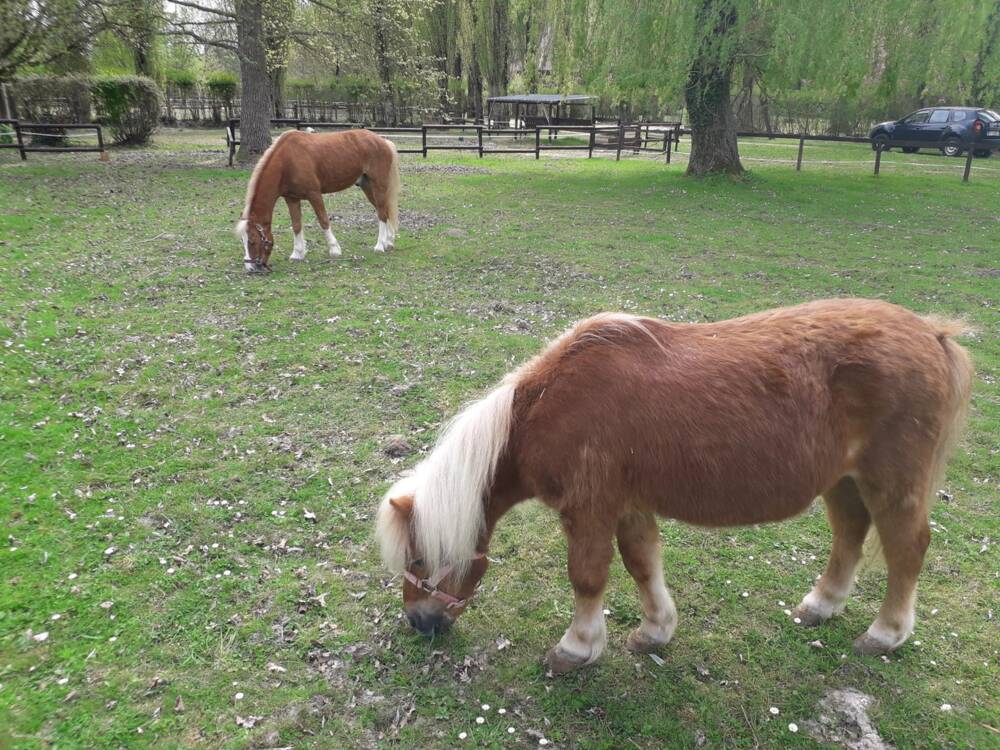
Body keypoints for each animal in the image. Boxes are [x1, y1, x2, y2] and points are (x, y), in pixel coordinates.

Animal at [236, 129, 400, 274]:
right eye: (242, 241)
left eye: (252, 241)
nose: (250, 268)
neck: (287, 160)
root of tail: (382, 141)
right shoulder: (292, 199)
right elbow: (296, 225)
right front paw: (297, 253)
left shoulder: (314, 194)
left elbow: (323, 221)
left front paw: (334, 249)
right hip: (367, 186)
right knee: (384, 211)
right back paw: (389, 241)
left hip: (378, 185)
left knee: (381, 214)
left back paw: (380, 246)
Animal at [376, 298, 968, 676]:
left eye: (421, 561)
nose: (418, 623)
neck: (547, 408)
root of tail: (932, 334)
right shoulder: (628, 505)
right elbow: (642, 564)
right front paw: (655, 630)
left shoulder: (588, 509)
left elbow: (587, 577)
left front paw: (577, 649)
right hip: (843, 480)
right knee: (850, 532)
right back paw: (821, 605)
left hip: (892, 481)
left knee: (907, 549)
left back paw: (886, 633)